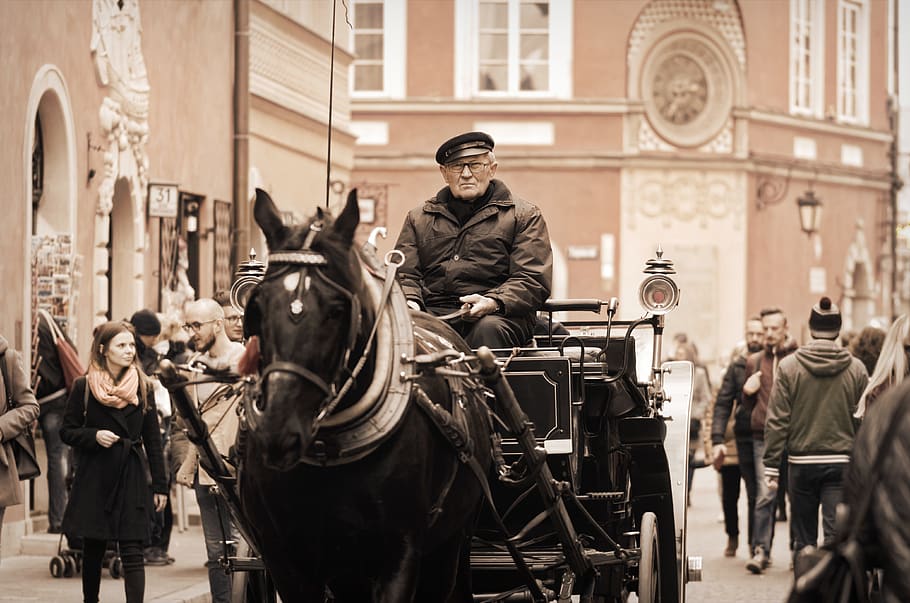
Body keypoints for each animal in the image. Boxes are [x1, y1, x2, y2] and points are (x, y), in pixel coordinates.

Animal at [235, 190, 492, 603]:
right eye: (256, 305)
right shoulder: (283, 557)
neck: (328, 452)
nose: (278, 432)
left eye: (337, 309)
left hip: (450, 542)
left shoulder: (401, 552)